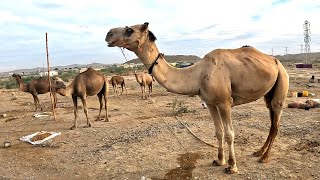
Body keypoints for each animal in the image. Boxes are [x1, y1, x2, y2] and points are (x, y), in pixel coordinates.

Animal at [105, 21, 290, 174]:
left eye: (129, 30)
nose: (108, 33)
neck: (197, 74)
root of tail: (277, 62)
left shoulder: (224, 102)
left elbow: (229, 133)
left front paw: (232, 166)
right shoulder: (211, 103)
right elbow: (218, 131)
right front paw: (219, 160)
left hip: (282, 79)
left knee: (276, 122)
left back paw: (264, 157)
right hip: (268, 93)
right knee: (272, 120)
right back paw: (259, 152)